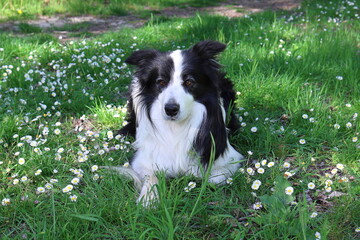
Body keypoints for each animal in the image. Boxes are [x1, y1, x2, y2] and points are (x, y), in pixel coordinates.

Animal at [109, 40, 245, 205]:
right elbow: (151, 176)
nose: (171, 109)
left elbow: (210, 178)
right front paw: (149, 199)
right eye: (161, 82)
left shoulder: (229, 159)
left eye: (189, 82)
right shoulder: (142, 160)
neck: (176, 127)